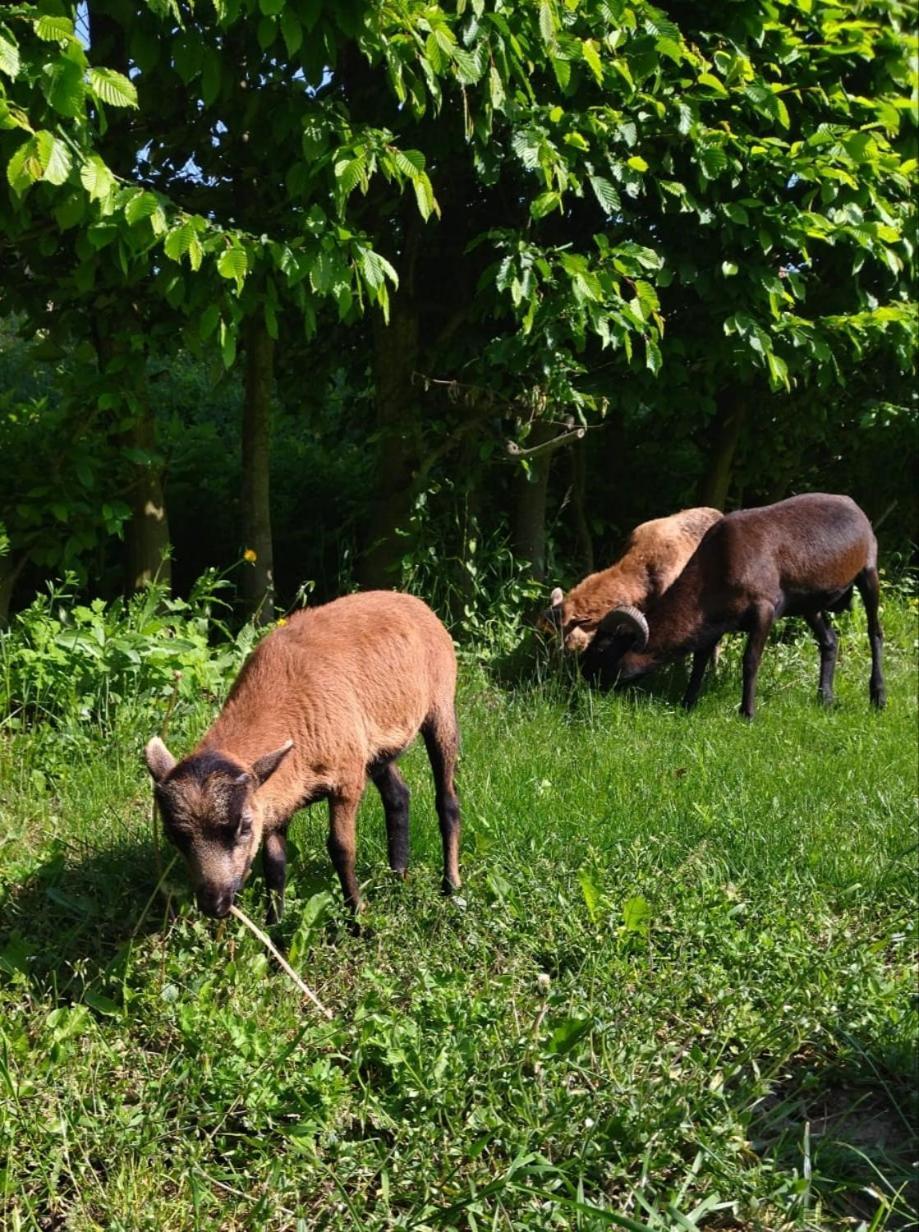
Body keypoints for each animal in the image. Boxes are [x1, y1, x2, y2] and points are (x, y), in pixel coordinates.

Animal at [142, 591, 458, 921]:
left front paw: (357, 919)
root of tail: (409, 598)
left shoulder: (346, 780)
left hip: (440, 705)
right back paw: (398, 875)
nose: (214, 905)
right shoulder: (275, 796)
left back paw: (450, 886)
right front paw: (274, 924)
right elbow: (274, 864)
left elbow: (342, 849)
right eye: (173, 836)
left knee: (447, 801)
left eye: (244, 827)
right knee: (398, 794)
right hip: (374, 749)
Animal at [578, 492, 882, 719]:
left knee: (875, 634)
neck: (716, 566)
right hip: (810, 603)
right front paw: (687, 704)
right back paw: (826, 698)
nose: (582, 678)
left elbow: (750, 660)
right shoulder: (713, 621)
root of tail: (853, 504)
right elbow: (700, 660)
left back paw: (878, 698)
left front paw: (747, 714)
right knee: (829, 641)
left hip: (868, 573)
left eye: (602, 648)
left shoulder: (764, 610)